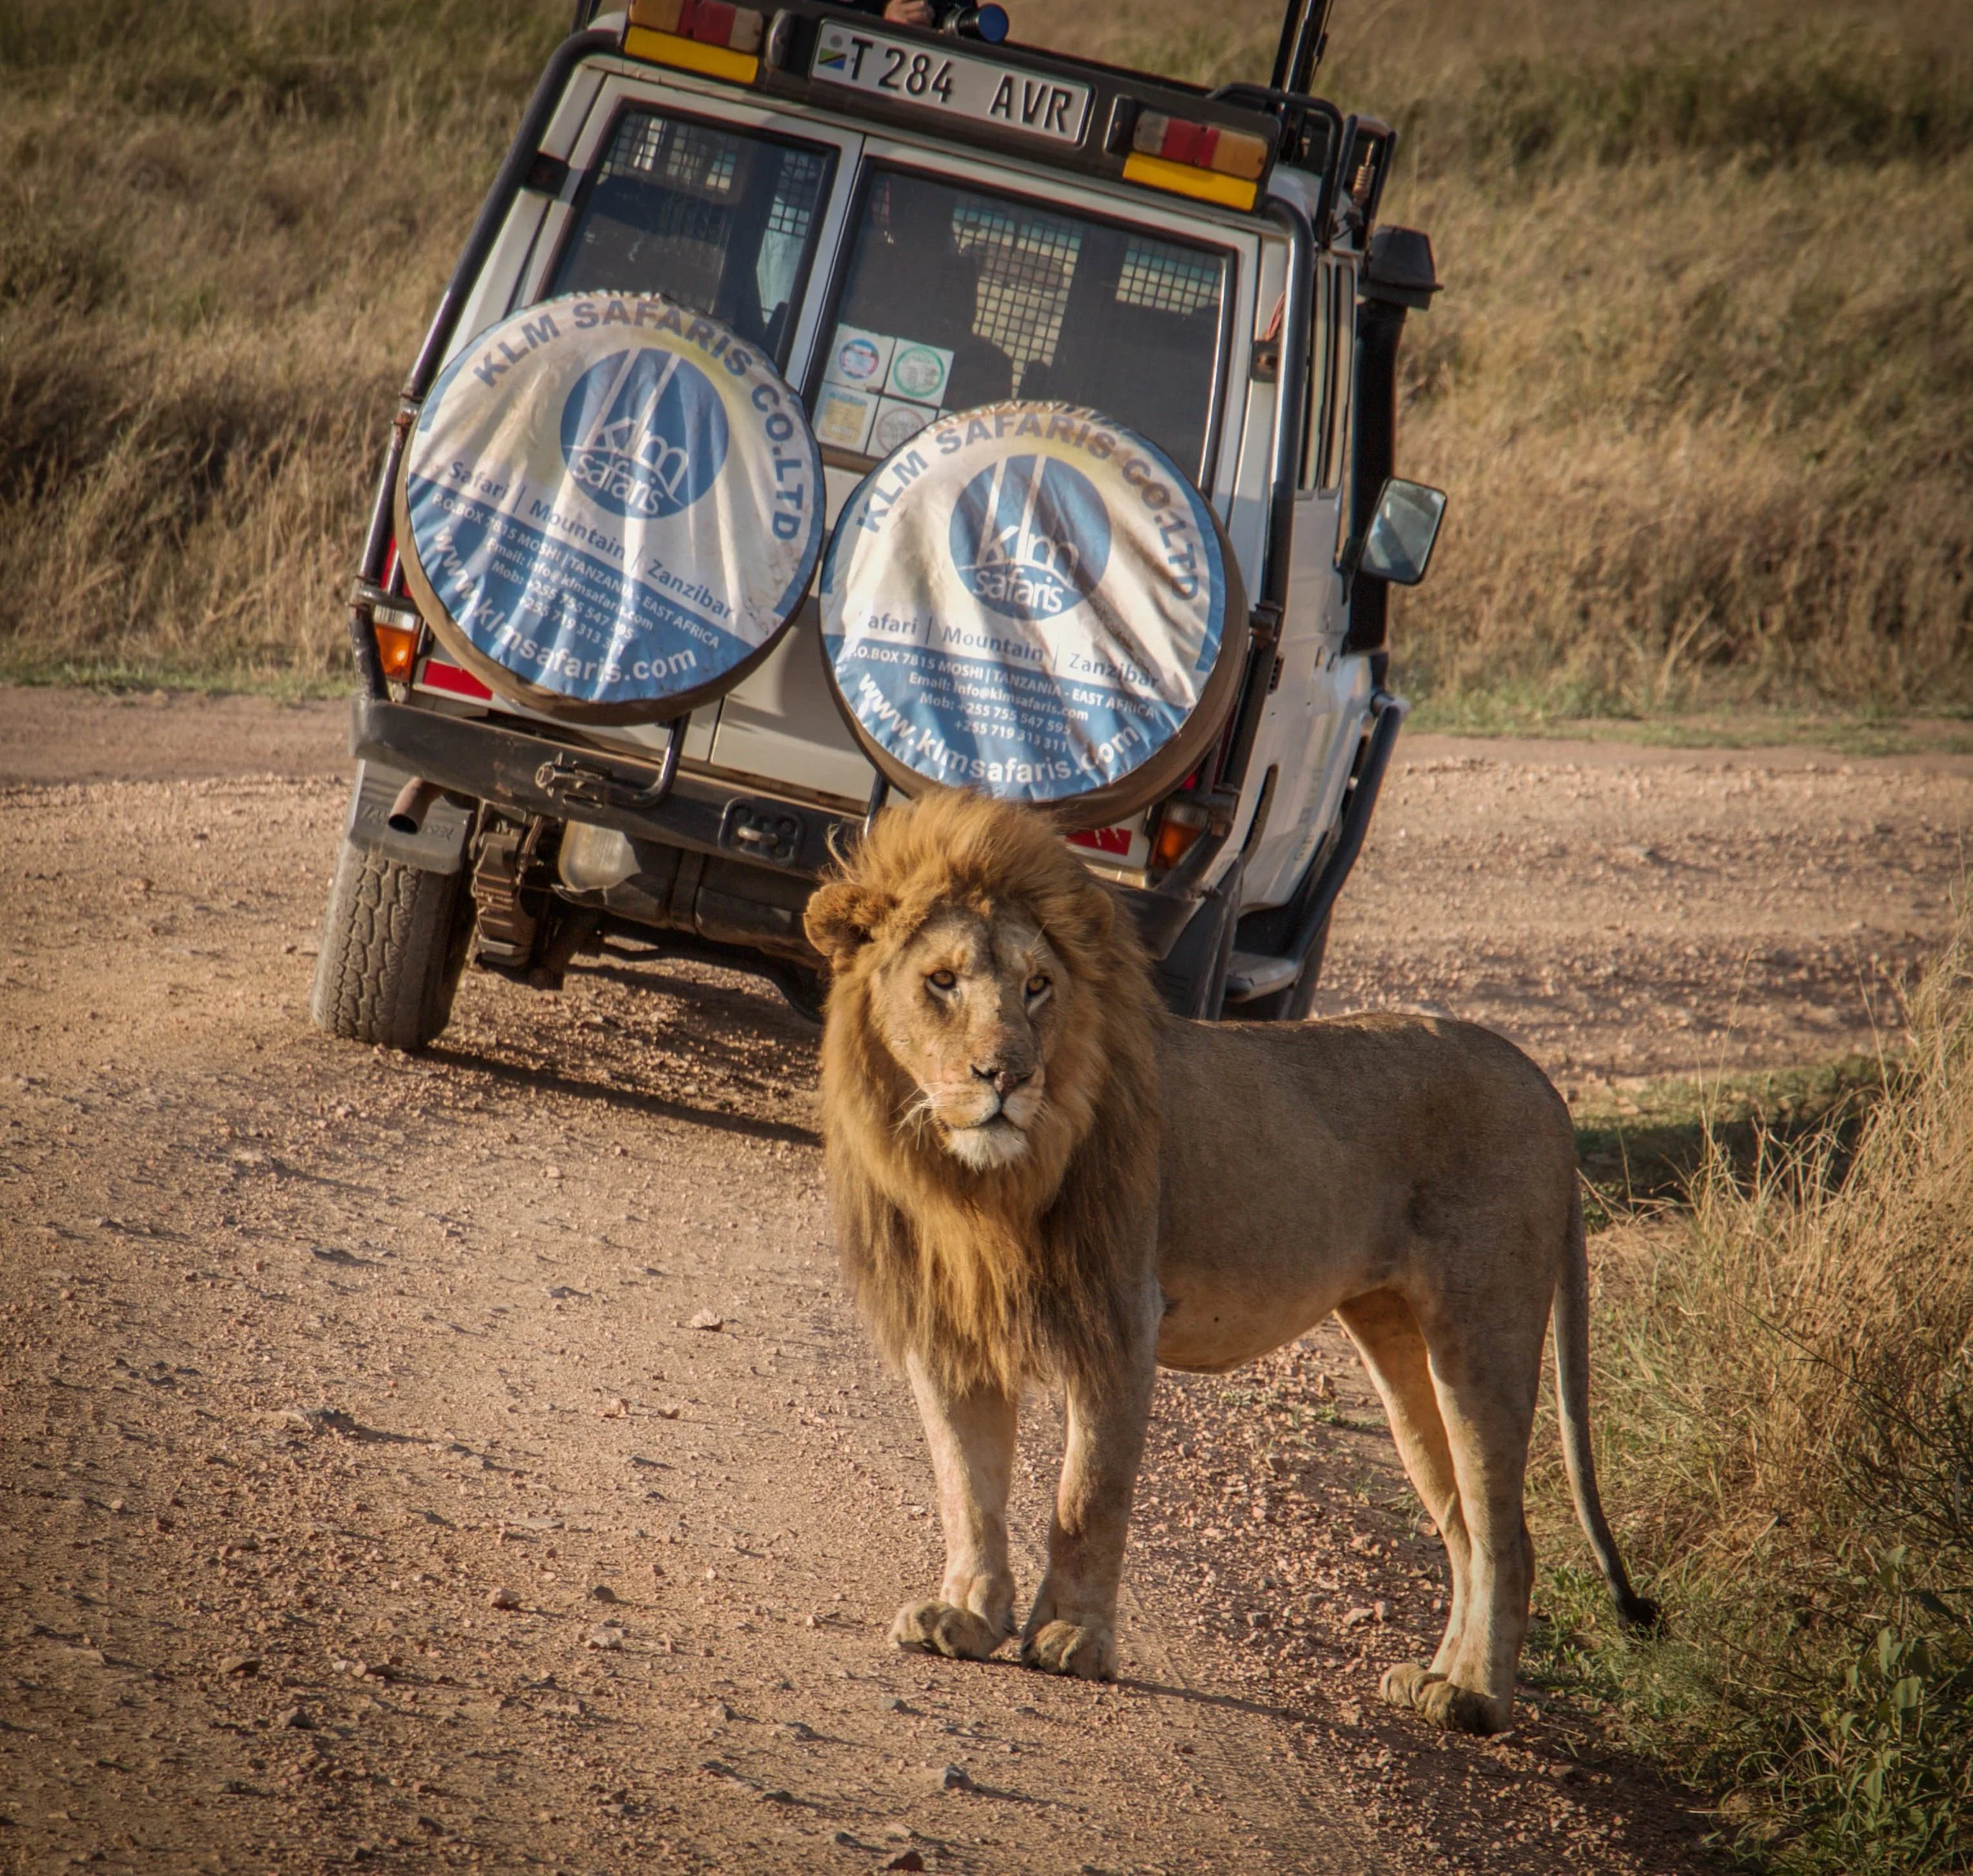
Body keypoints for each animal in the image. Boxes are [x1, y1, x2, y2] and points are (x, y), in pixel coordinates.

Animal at [803, 787, 1656, 1733]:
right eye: (941, 982)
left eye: (1037, 986)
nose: (1007, 1076)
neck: (975, 1185)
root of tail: (1544, 1085)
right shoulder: (948, 1326)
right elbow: (967, 1484)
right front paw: (967, 1616)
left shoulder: (1121, 1316)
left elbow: (1086, 1493)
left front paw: (1071, 1639)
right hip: (1403, 1345)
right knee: (1469, 1528)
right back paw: (1435, 1678)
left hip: (1484, 1330)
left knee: (1506, 1534)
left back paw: (1474, 1697)